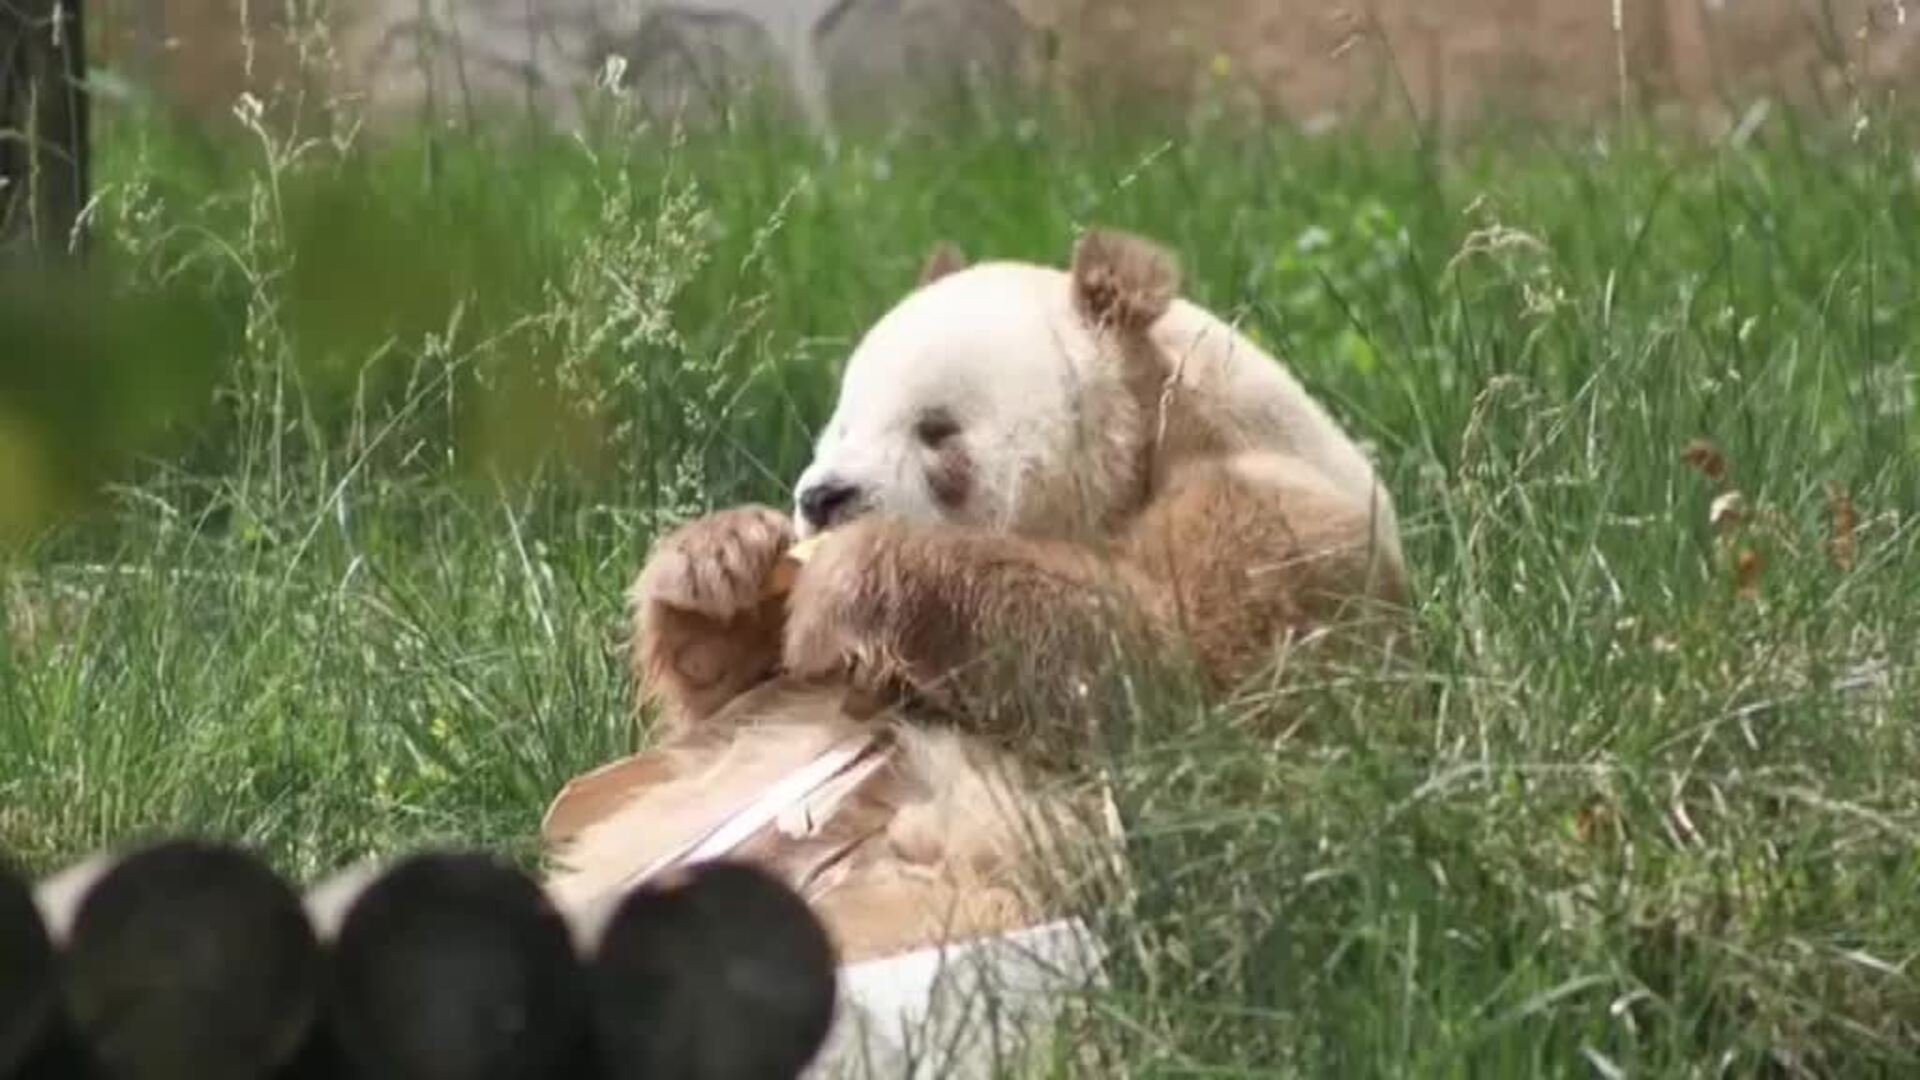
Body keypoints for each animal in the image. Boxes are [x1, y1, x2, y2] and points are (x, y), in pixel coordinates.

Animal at [547, 228, 1411, 963]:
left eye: (936, 430)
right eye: (842, 424)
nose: (822, 497)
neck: (1157, 435)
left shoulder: (1282, 531)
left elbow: (1173, 684)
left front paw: (858, 574)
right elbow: (735, 708)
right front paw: (718, 564)